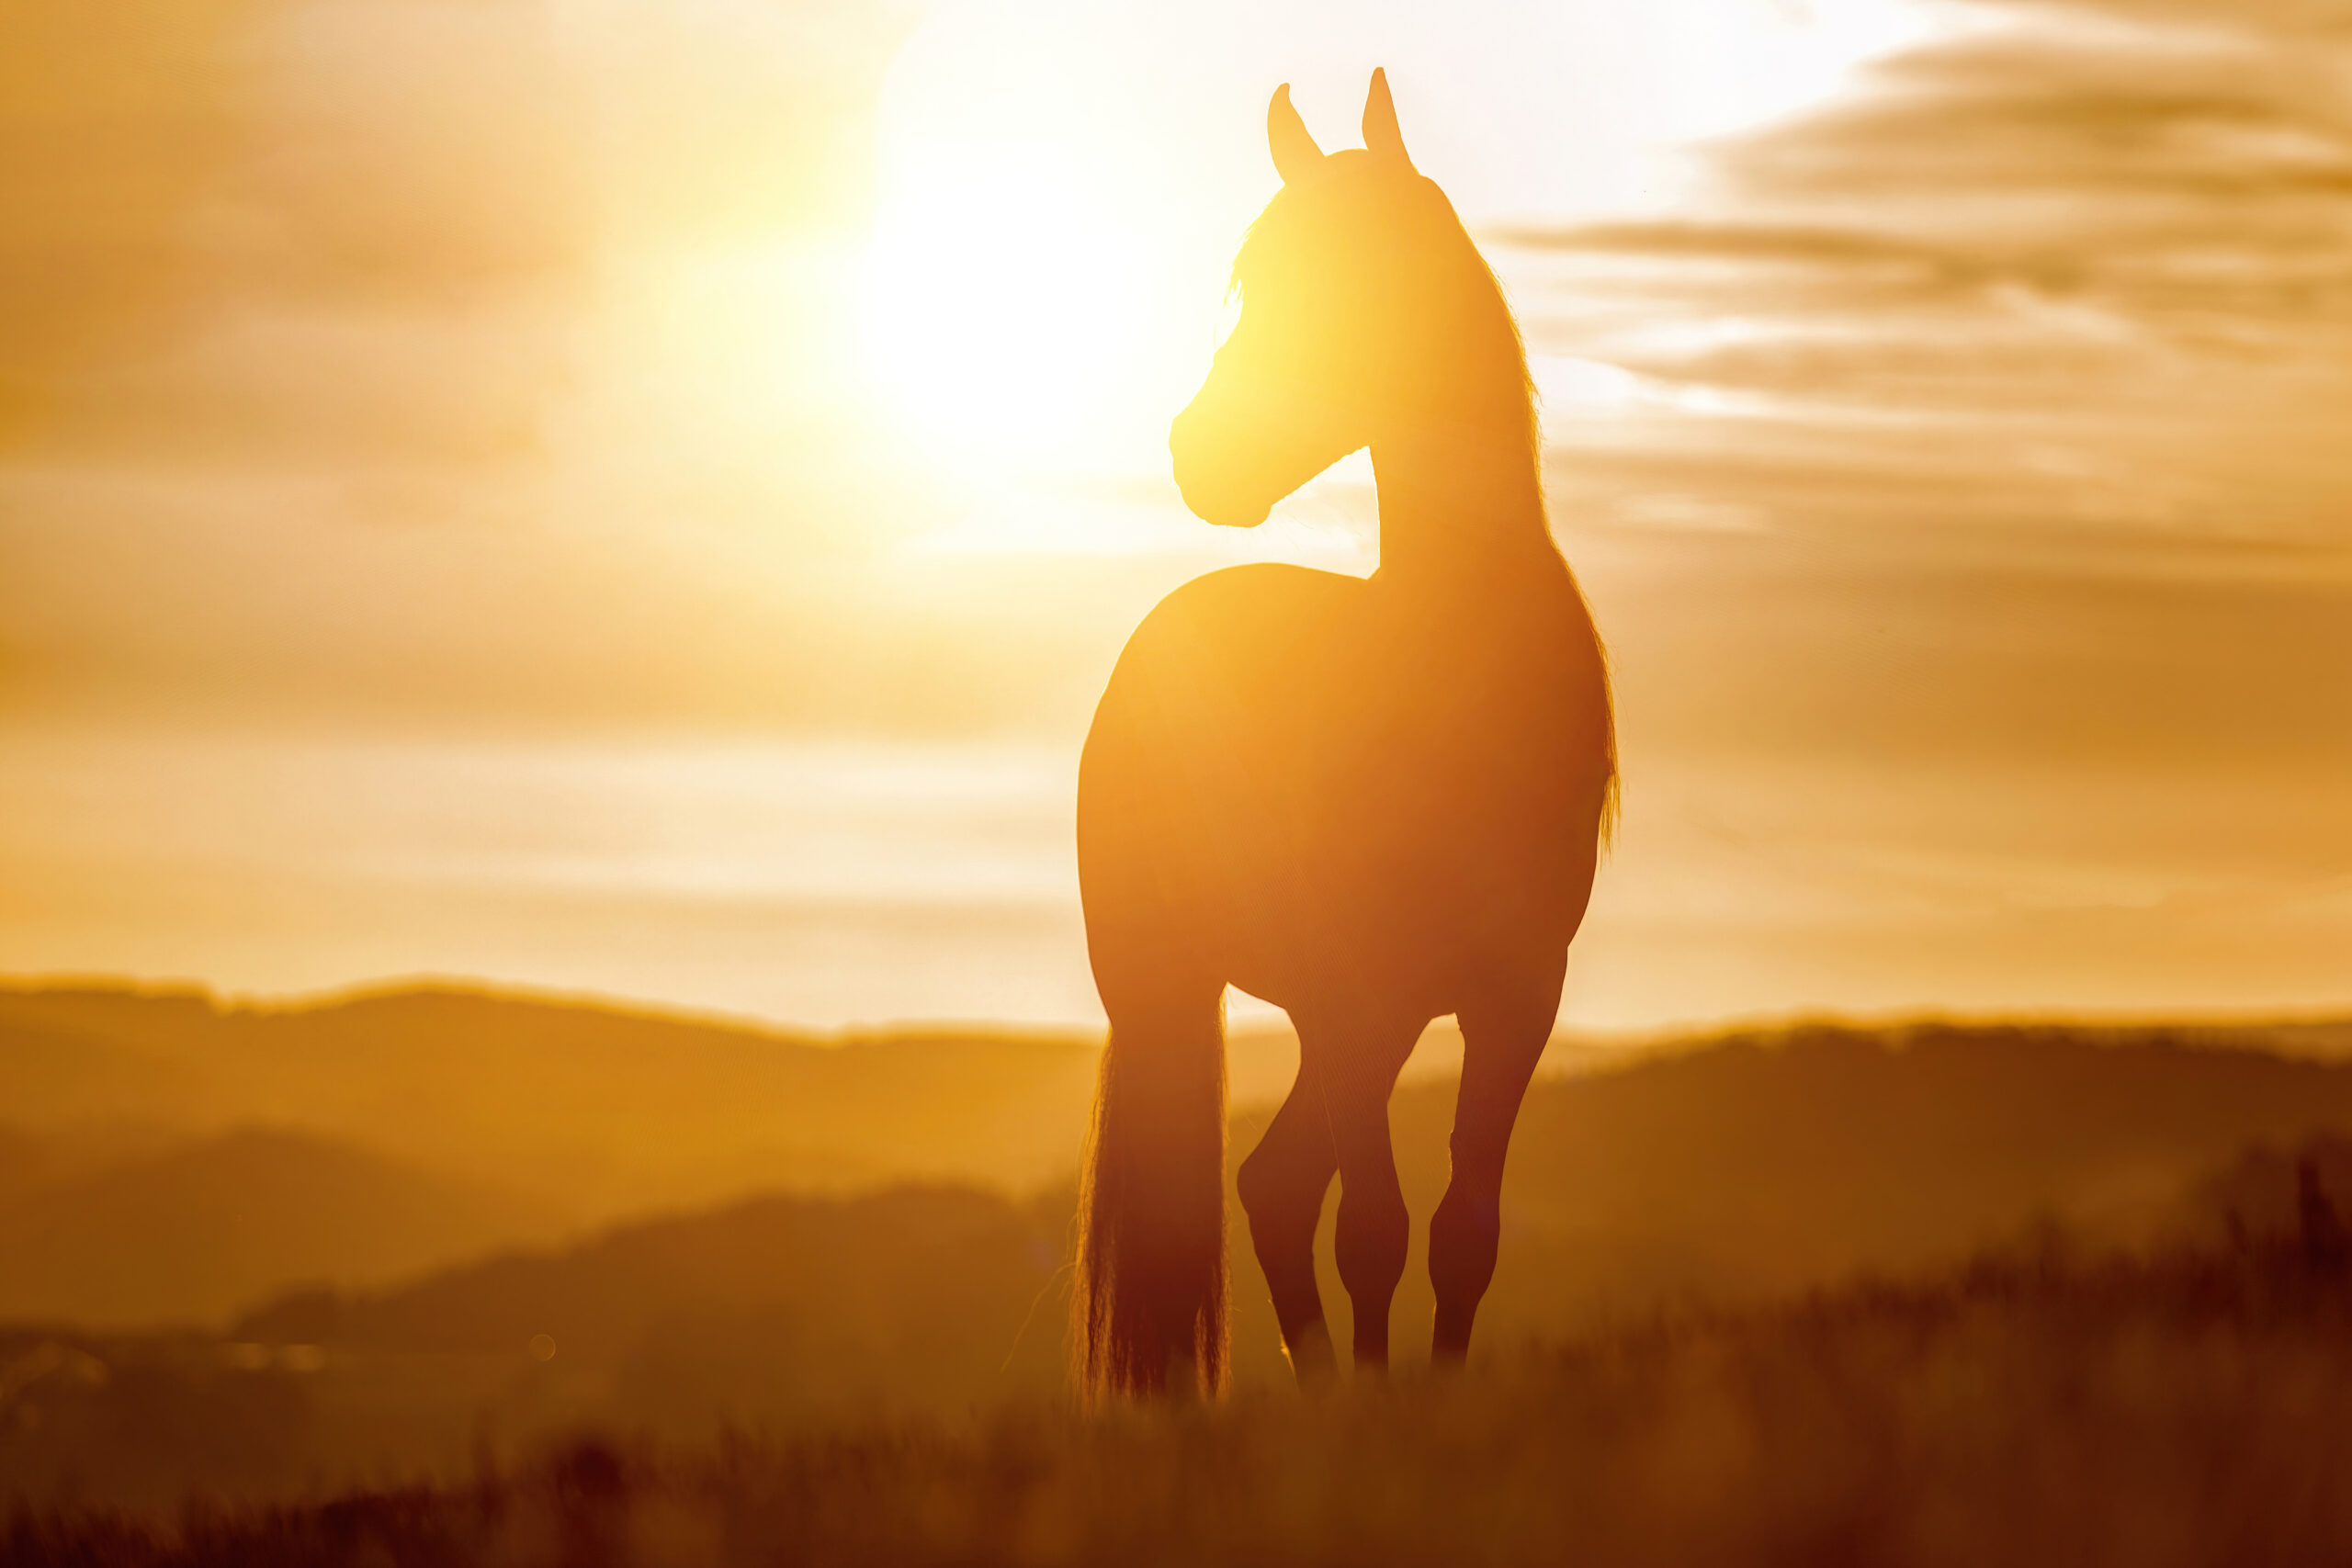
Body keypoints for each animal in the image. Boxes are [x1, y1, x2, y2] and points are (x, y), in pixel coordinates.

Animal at [1073, 70, 1617, 1400]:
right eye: (1253, 284)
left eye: (1352, 285)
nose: (1198, 456)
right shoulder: (1352, 991)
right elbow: (1374, 1228)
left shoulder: (1514, 999)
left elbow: (1462, 1231)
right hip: (1197, 992)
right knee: (1244, 1197)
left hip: (1369, 1022)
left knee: (1273, 1186)